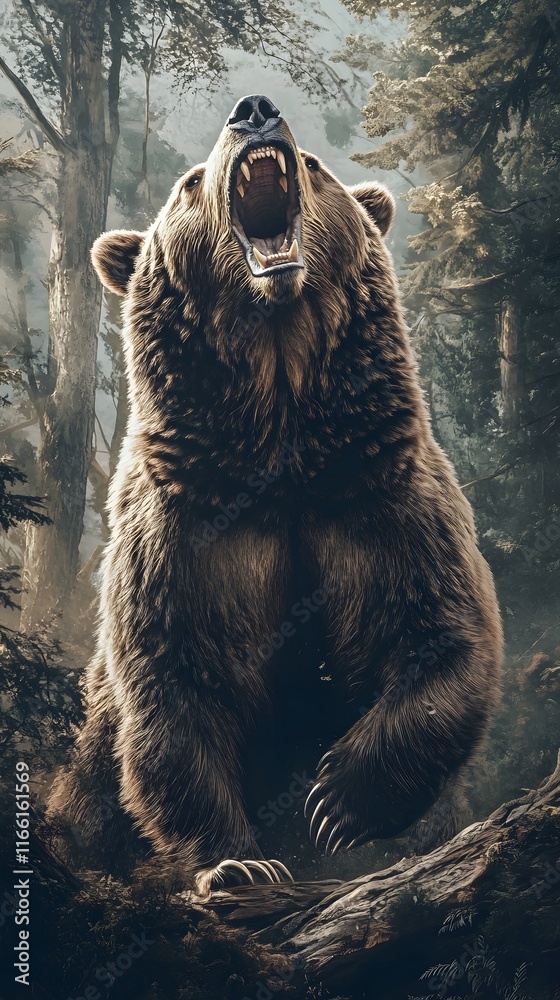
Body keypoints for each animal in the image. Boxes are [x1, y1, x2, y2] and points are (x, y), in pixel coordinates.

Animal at [48, 94, 503, 891]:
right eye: (189, 183)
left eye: (317, 167)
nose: (255, 110)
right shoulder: (187, 531)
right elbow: (173, 693)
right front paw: (240, 862)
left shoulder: (378, 495)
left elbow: (442, 633)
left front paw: (336, 801)